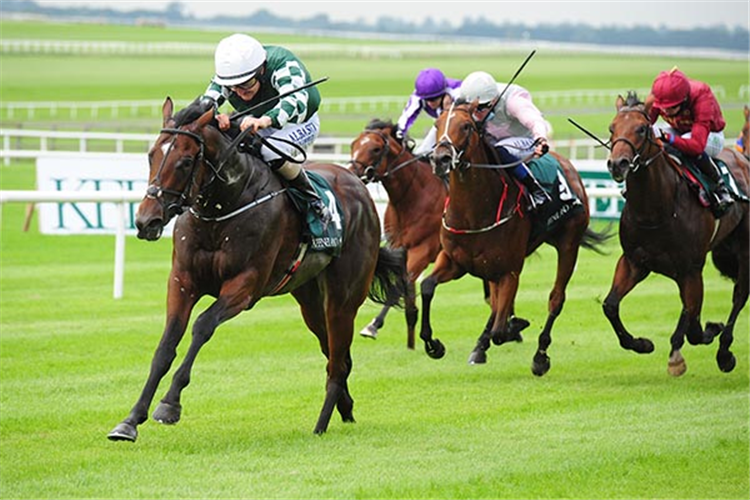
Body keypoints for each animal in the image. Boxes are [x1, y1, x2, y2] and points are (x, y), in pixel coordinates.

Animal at [105, 97, 406, 442]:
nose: (146, 221)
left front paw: (169, 404)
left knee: (337, 360)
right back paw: (345, 406)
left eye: (185, 161)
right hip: (309, 300)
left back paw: (321, 424)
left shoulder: (244, 286)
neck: (221, 210)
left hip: (343, 298)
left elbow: (203, 325)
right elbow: (166, 346)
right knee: (334, 352)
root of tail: (360, 190)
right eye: (151, 155)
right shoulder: (182, 281)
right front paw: (130, 420)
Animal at [420, 101, 608, 376]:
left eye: (465, 126)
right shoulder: (455, 261)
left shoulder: (509, 271)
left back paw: (540, 356)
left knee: (556, 299)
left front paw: (513, 328)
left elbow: (500, 329)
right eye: (437, 123)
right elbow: (427, 286)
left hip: (568, 244)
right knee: (496, 302)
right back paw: (482, 346)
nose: (440, 158)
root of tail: (568, 164)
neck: (474, 213)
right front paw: (434, 344)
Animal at [604, 92, 750, 376]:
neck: (656, 209)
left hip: (745, 249)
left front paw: (682, 354)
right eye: (612, 128)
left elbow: (692, 322)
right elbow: (611, 306)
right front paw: (642, 343)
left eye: (642, 128)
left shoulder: (690, 270)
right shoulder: (633, 262)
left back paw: (725, 352)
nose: (618, 164)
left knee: (739, 295)